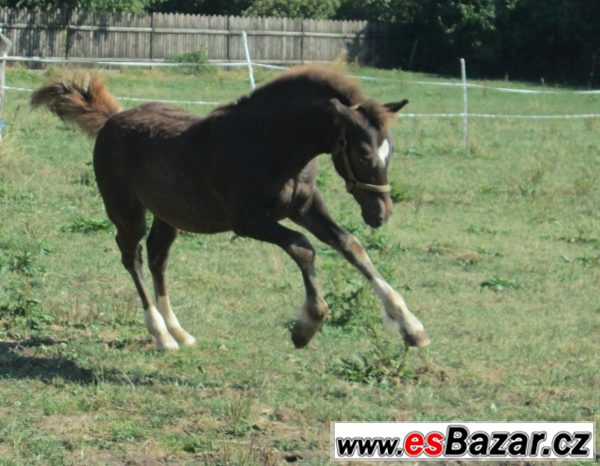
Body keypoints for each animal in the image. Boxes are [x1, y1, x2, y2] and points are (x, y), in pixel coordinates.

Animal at [32, 65, 428, 350]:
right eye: (362, 153)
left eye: (389, 150)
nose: (380, 214)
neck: (268, 144)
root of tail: (113, 119)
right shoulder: (247, 220)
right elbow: (303, 247)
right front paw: (306, 327)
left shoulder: (305, 207)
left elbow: (351, 246)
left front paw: (411, 327)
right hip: (126, 211)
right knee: (133, 257)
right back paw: (161, 335)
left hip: (168, 214)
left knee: (158, 257)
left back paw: (180, 332)